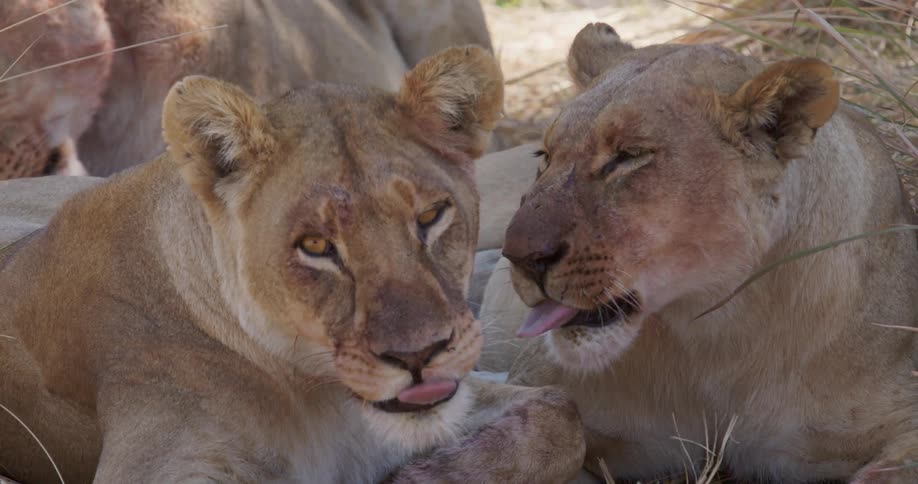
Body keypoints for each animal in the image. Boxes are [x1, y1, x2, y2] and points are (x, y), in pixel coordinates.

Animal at [477, 23, 918, 483]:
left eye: (627, 157)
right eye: (545, 157)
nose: (519, 256)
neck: (713, 338)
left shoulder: (902, 408)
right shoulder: (534, 378)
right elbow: (551, 417)